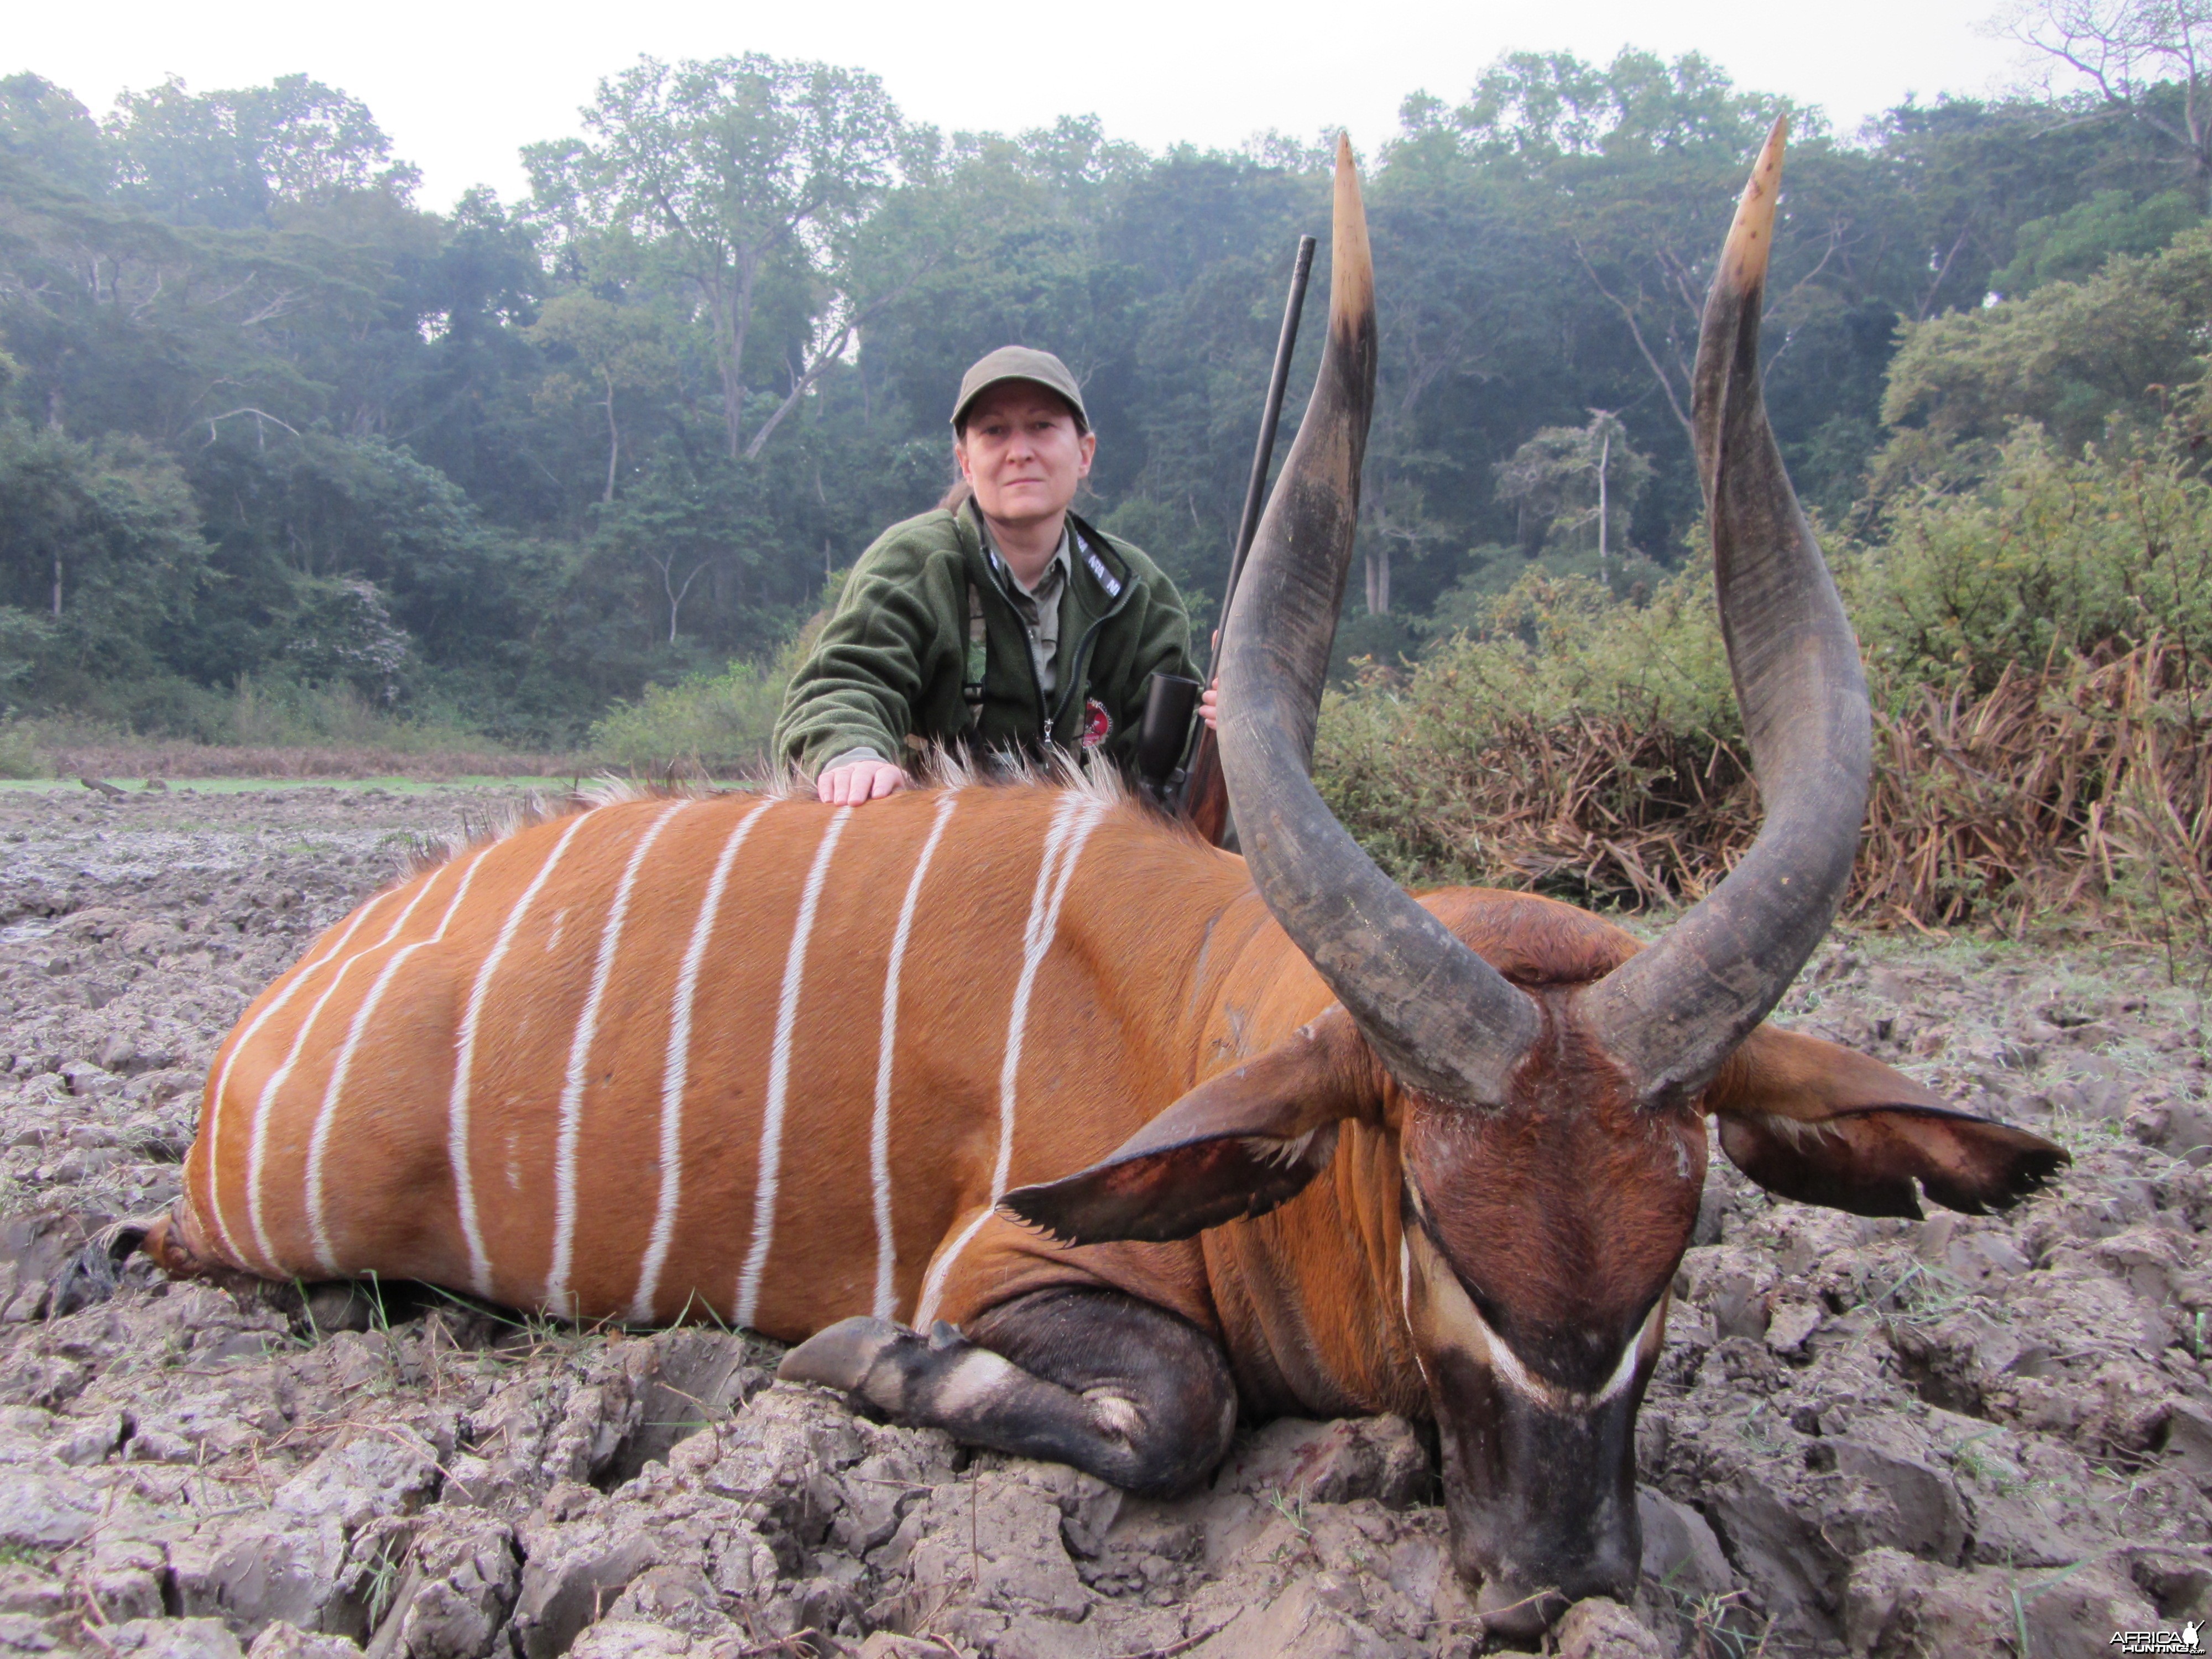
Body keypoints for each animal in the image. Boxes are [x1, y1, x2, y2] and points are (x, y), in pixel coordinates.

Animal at [147, 130, 2062, 1637]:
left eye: (1682, 1235)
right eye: (1433, 1214)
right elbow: (1178, 1407)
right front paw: (853, 1366)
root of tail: (263, 1027)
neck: (1212, 1005)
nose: (1549, 1575)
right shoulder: (1003, 1260)